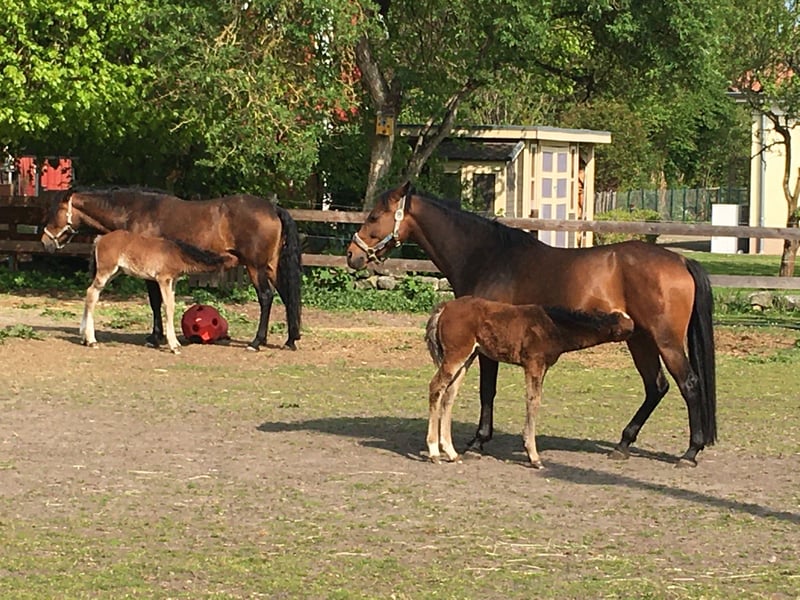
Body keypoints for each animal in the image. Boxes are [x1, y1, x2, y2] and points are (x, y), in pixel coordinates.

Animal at [81, 230, 239, 353]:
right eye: (231, 257)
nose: (238, 260)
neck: (177, 253)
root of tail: (100, 239)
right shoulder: (164, 279)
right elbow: (168, 307)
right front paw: (174, 346)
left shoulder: (173, 282)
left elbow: (172, 304)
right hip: (106, 270)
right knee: (91, 293)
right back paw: (91, 340)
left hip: (115, 272)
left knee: (91, 293)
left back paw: (84, 337)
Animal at [425, 296, 635, 468]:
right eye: (627, 328)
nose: (637, 331)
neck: (553, 326)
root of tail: (445, 307)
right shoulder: (534, 364)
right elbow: (533, 402)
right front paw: (534, 456)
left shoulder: (540, 367)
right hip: (456, 354)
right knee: (436, 387)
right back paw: (434, 452)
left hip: (468, 356)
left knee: (449, 394)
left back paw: (451, 453)